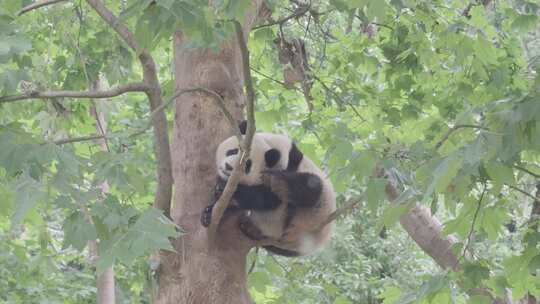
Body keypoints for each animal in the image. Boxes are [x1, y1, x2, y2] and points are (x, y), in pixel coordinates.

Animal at [200, 121, 336, 256]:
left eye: (247, 165)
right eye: (233, 151)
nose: (228, 167)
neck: (271, 147)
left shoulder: (288, 166)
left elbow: (268, 199)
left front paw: (224, 188)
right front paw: (208, 212)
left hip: (312, 214)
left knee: (312, 187)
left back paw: (278, 183)